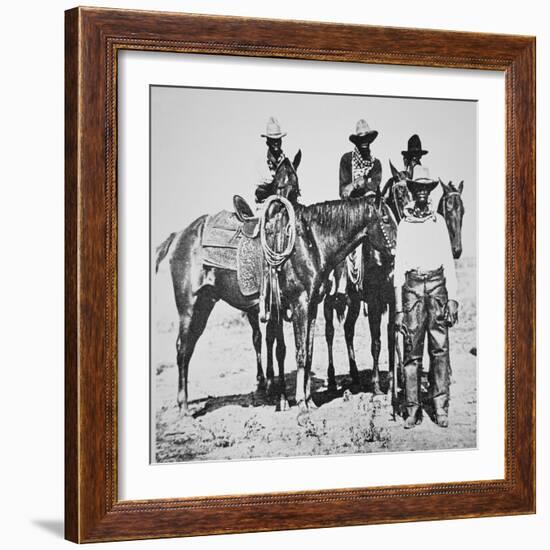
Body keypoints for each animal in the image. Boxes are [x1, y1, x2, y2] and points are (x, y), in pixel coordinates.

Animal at [157, 194, 394, 414]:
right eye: (385, 219)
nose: (392, 258)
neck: (311, 243)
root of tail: (178, 236)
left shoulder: (312, 306)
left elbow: (308, 352)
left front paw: (309, 400)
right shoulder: (300, 304)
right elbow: (300, 352)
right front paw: (301, 403)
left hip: (204, 304)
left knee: (188, 349)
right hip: (189, 307)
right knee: (182, 349)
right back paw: (184, 407)